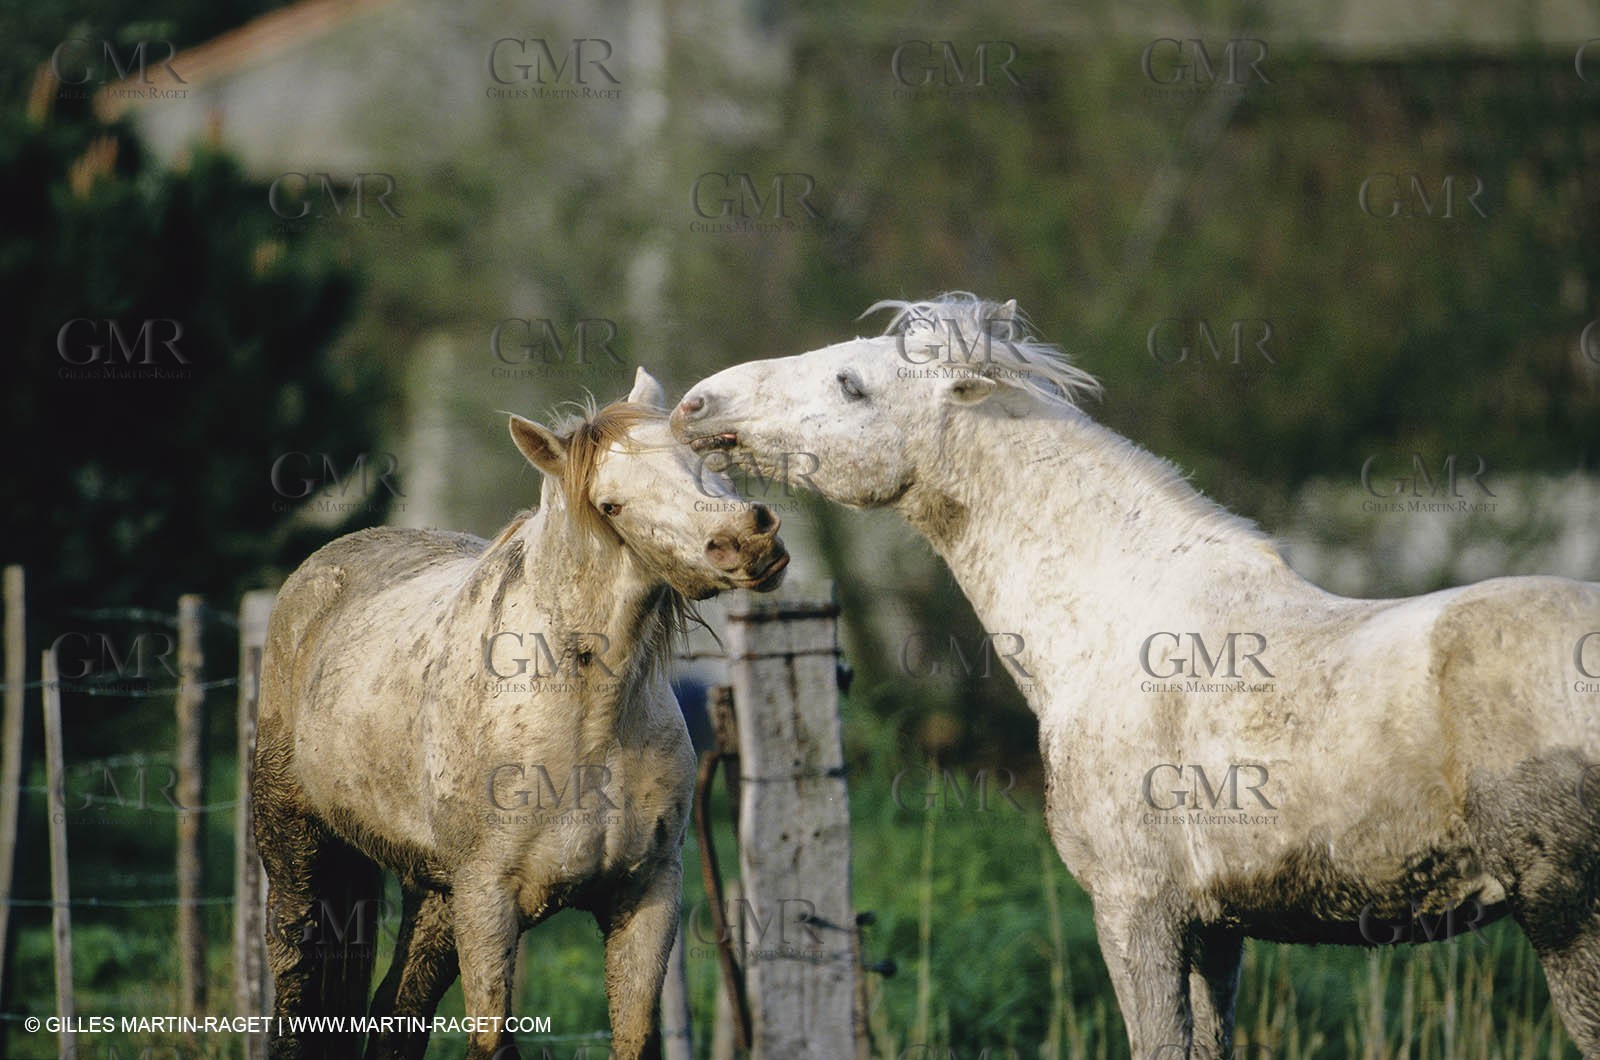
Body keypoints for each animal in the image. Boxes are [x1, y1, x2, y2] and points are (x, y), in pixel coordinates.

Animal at [253, 368, 789, 1060]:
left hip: (435, 893)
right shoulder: (488, 901)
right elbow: (491, 1040)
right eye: (611, 505)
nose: (749, 540)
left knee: (396, 1009)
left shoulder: (647, 895)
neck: (589, 723)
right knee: (294, 990)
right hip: (298, 856)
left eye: (700, 459)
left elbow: (635, 1037)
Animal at [671, 295, 1600, 1058]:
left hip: (1569, 924)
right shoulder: (1216, 934)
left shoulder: (1136, 913)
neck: (1114, 624)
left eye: (851, 385)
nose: (696, 405)